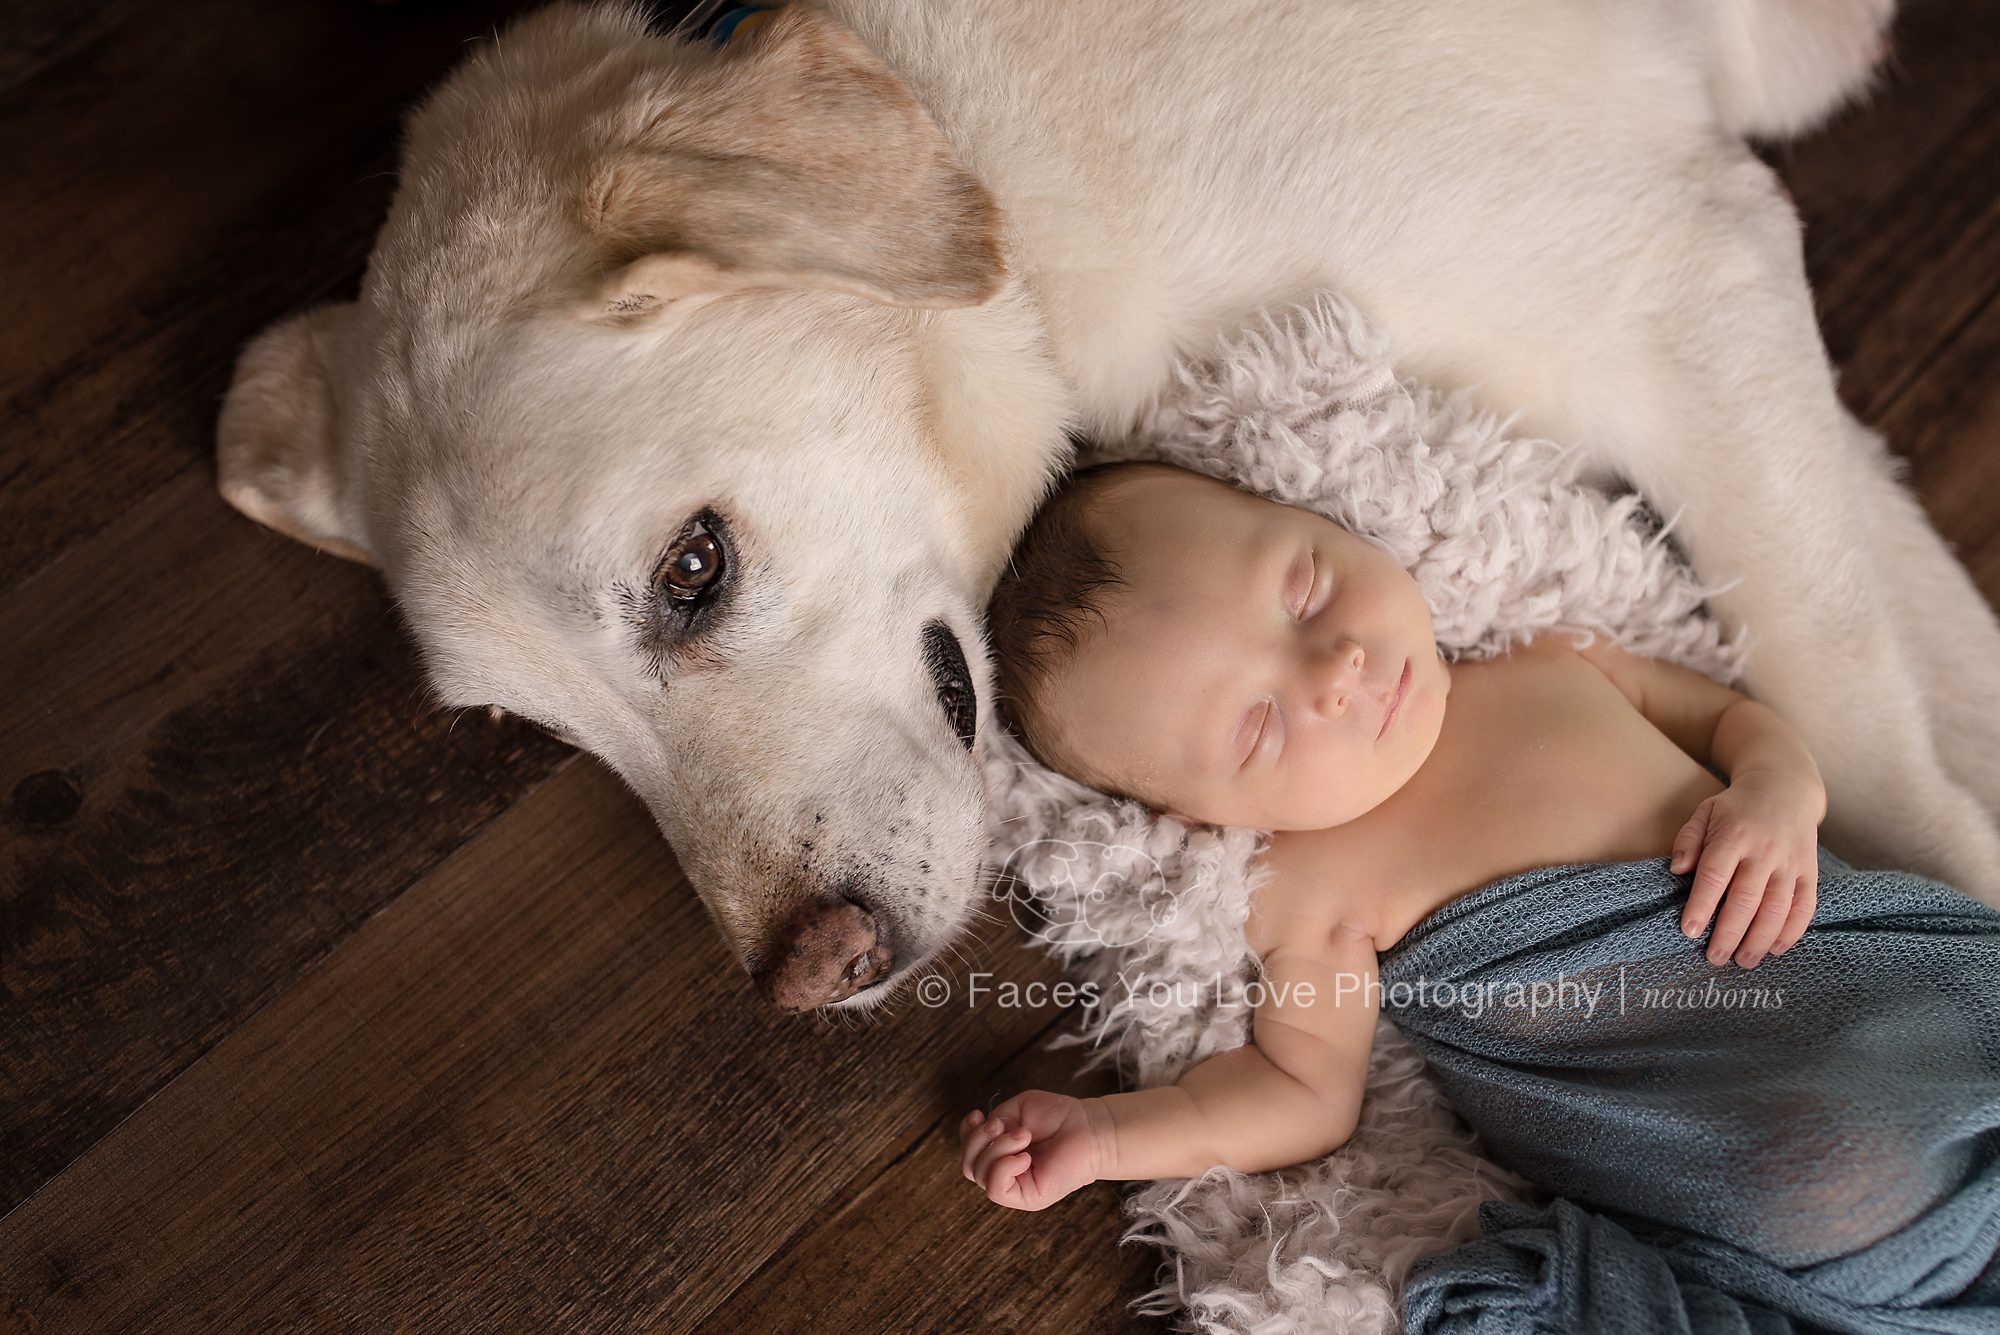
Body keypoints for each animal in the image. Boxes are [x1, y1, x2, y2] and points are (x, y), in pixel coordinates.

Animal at [215, 0, 2000, 1011]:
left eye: (694, 569)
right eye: (544, 737)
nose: (804, 978)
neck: (982, 151)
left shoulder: (1688, 275)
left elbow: (1857, 712)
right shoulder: (1731, 332)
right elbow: (1930, 662)